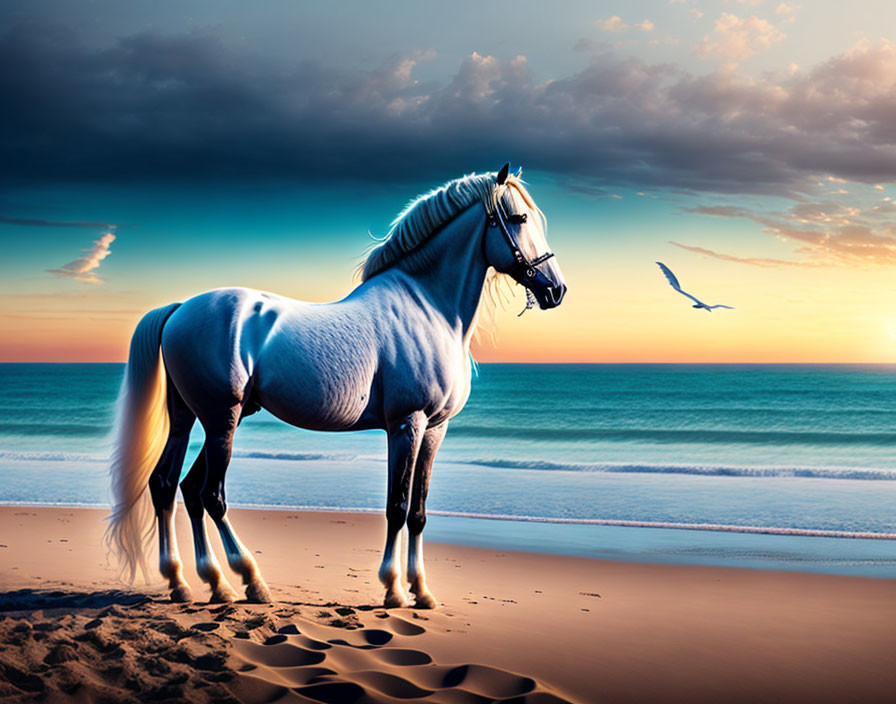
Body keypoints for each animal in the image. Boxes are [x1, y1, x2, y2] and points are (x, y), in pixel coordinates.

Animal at [107, 164, 568, 604]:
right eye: (519, 217)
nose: (556, 290)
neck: (428, 309)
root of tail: (180, 308)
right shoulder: (407, 424)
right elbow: (397, 507)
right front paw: (393, 589)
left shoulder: (436, 429)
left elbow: (418, 512)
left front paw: (422, 592)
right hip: (223, 419)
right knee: (210, 495)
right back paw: (250, 582)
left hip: (194, 418)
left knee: (172, 487)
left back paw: (195, 583)